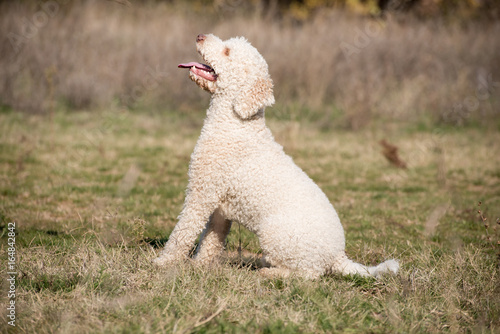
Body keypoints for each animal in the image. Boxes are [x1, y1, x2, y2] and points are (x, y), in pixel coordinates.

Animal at [154, 34, 400, 280]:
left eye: (227, 51)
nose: (200, 36)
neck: (235, 124)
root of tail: (338, 257)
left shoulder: (201, 193)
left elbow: (183, 232)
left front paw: (163, 262)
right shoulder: (219, 208)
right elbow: (211, 241)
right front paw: (200, 265)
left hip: (276, 236)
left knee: (308, 274)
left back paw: (269, 273)